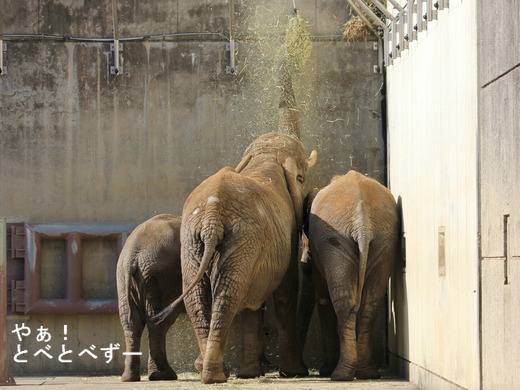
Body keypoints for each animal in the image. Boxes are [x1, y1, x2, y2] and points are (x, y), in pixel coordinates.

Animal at [116, 213, 185, 380]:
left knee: (131, 322)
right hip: (159, 275)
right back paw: (163, 375)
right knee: (158, 321)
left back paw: (129, 378)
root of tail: (132, 255)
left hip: (125, 277)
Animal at [153, 132, 316, 384]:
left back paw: (209, 371)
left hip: (196, 243)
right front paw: (294, 372)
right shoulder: (287, 234)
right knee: (228, 295)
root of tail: (211, 217)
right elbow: (285, 293)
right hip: (239, 239)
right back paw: (216, 375)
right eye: (302, 177)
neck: (266, 157)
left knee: (202, 298)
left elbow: (253, 298)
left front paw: (250, 374)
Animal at [298, 171, 400, 380]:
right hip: (383, 239)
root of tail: (363, 224)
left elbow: (323, 298)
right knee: (370, 301)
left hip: (340, 239)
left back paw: (339, 374)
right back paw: (367, 373)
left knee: (343, 301)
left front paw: (325, 371)